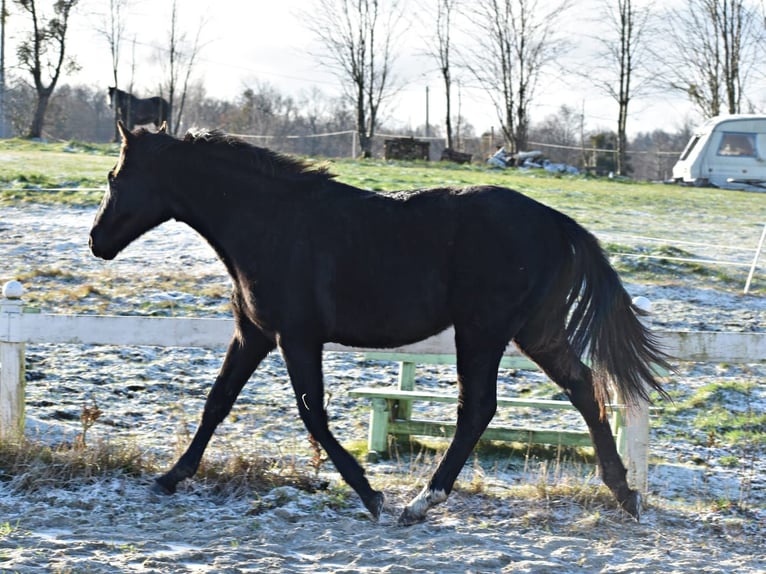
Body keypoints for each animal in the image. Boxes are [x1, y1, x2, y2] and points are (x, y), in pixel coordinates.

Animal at [90, 124, 668, 528]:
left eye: (115, 178)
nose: (96, 240)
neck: (269, 223)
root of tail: (556, 221)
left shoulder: (297, 338)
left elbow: (312, 415)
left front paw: (371, 495)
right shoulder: (252, 334)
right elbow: (218, 401)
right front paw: (170, 477)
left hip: (482, 332)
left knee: (478, 409)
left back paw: (421, 502)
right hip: (535, 332)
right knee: (583, 387)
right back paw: (624, 493)